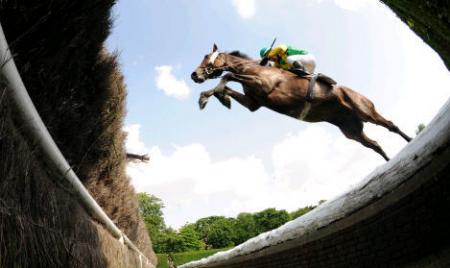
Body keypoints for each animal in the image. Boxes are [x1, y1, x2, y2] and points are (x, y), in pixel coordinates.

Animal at [190, 44, 412, 161]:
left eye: (206, 56)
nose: (194, 75)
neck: (254, 68)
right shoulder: (254, 103)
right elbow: (226, 84)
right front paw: (213, 97)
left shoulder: (265, 85)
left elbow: (228, 75)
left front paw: (213, 95)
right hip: (351, 129)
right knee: (374, 145)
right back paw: (389, 163)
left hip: (365, 109)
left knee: (391, 126)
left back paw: (410, 142)